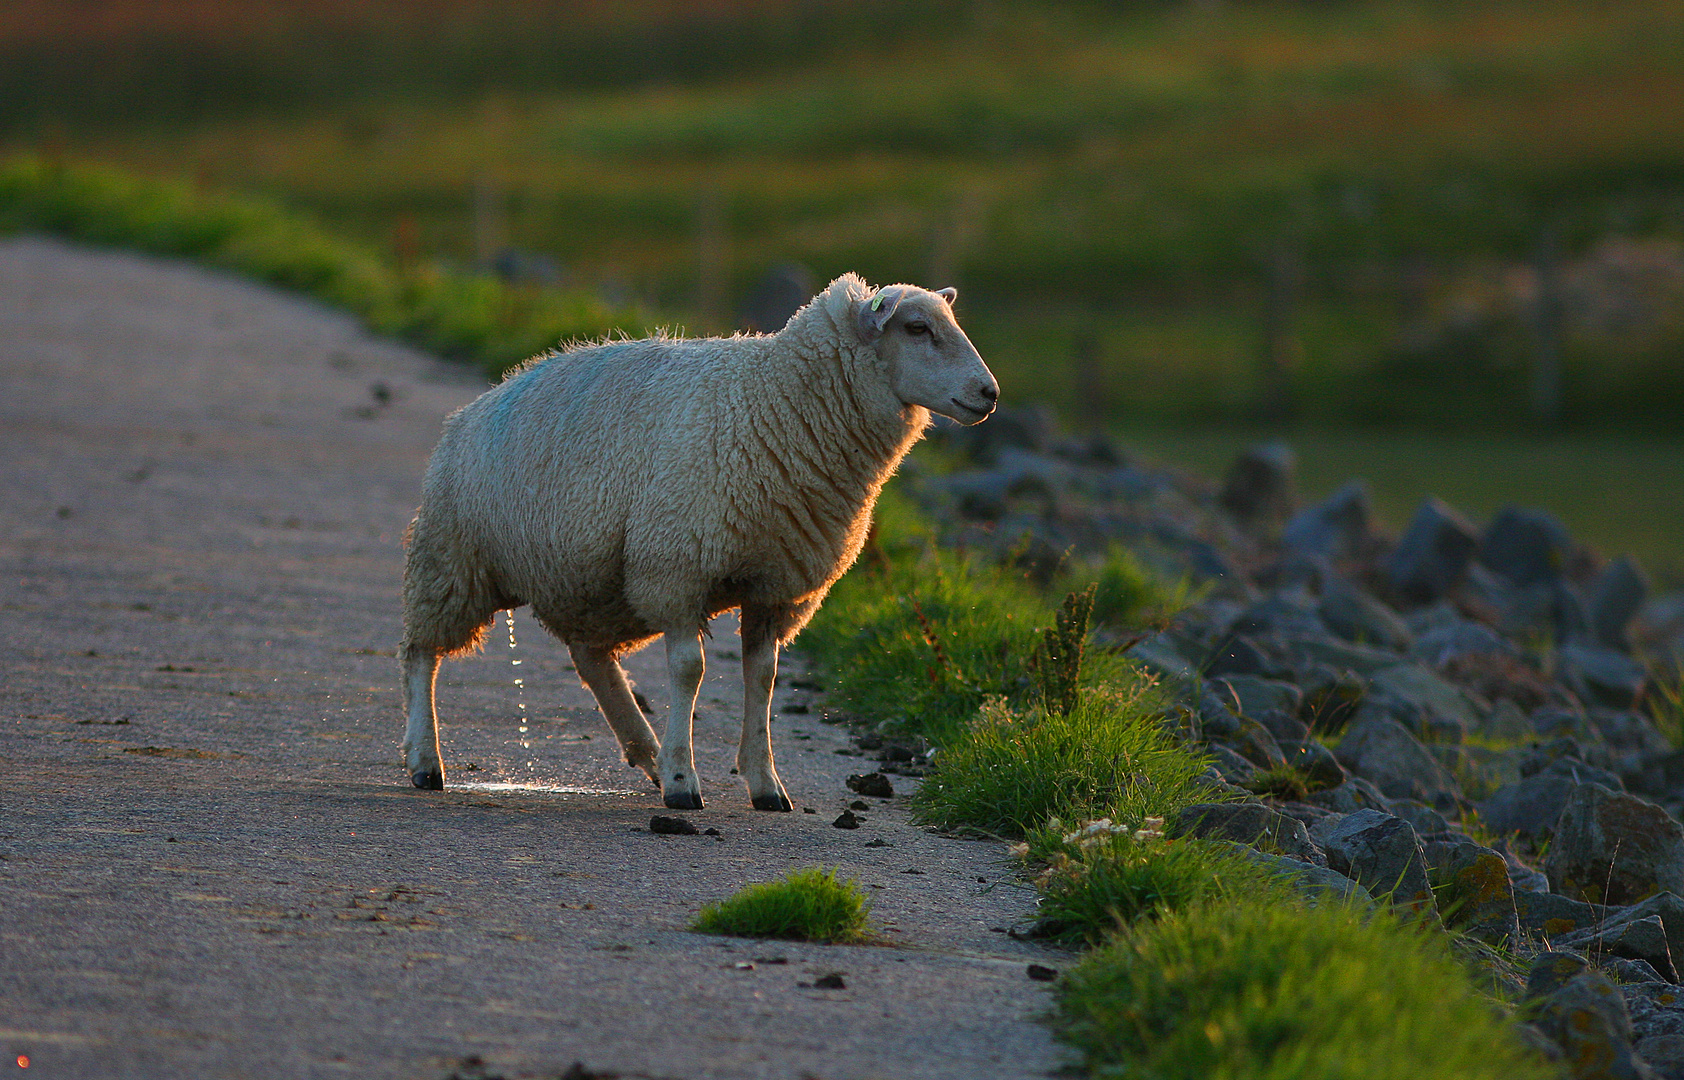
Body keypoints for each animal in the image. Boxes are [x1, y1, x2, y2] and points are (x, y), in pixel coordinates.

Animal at [399, 271, 990, 808]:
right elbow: (690, 671)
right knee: (420, 652)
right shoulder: (676, 569)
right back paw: (426, 760)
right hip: (453, 558)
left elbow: (764, 677)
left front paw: (764, 782)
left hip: (587, 580)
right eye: (917, 328)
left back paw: (646, 750)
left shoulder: (773, 586)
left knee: (592, 660)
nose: (990, 393)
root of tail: (471, 410)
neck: (777, 403)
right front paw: (685, 781)